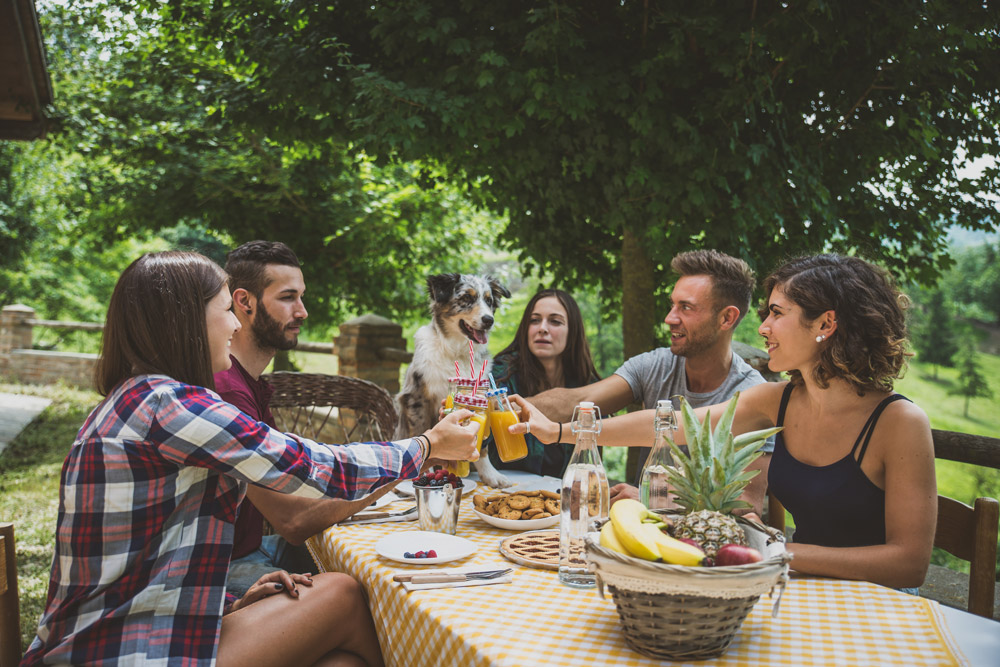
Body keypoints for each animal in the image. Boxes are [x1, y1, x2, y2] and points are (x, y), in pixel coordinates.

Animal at [392, 274, 512, 488]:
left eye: (489, 301)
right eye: (466, 298)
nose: (489, 320)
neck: (458, 351)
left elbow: (481, 446)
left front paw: (491, 475)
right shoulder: (417, 398)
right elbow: (423, 435)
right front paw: (425, 473)